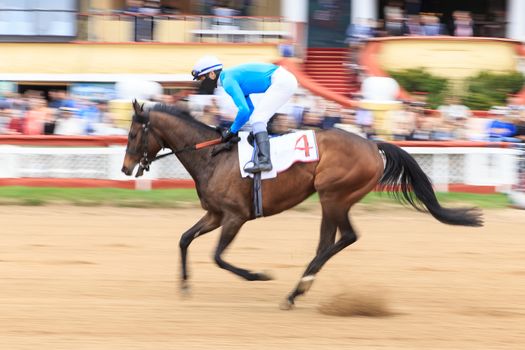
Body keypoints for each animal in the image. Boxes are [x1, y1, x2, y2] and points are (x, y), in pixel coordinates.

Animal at [121, 100, 482, 308]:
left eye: (132, 135)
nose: (125, 168)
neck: (212, 156)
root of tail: (372, 144)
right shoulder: (215, 214)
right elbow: (184, 239)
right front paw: (184, 284)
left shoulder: (235, 217)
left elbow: (219, 257)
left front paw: (257, 275)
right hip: (334, 199)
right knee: (331, 241)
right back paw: (299, 289)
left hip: (333, 195)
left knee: (344, 237)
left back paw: (296, 290)